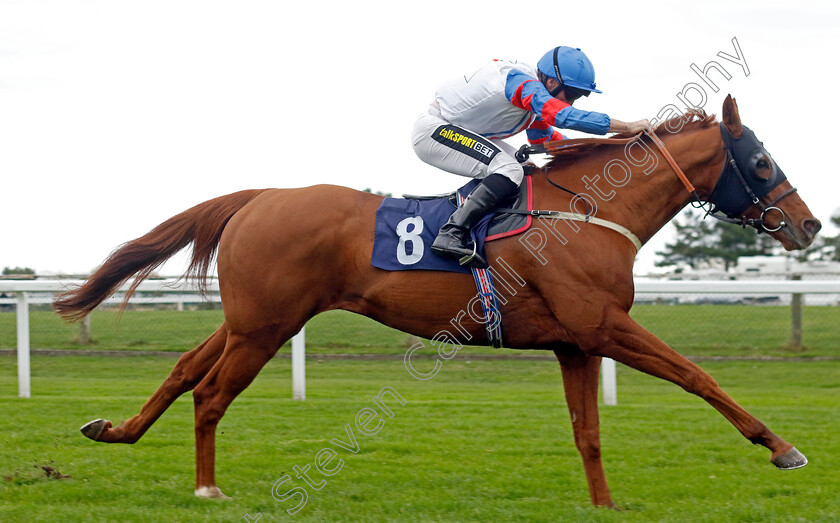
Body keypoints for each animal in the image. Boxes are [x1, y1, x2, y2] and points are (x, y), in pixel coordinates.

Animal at [52, 95, 820, 508]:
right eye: (760, 163)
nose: (809, 225)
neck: (587, 212)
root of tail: (260, 196)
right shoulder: (603, 325)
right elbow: (698, 375)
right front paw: (781, 446)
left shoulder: (575, 342)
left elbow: (589, 433)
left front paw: (604, 504)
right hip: (264, 326)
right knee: (210, 393)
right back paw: (207, 488)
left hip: (251, 319)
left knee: (185, 367)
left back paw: (114, 430)